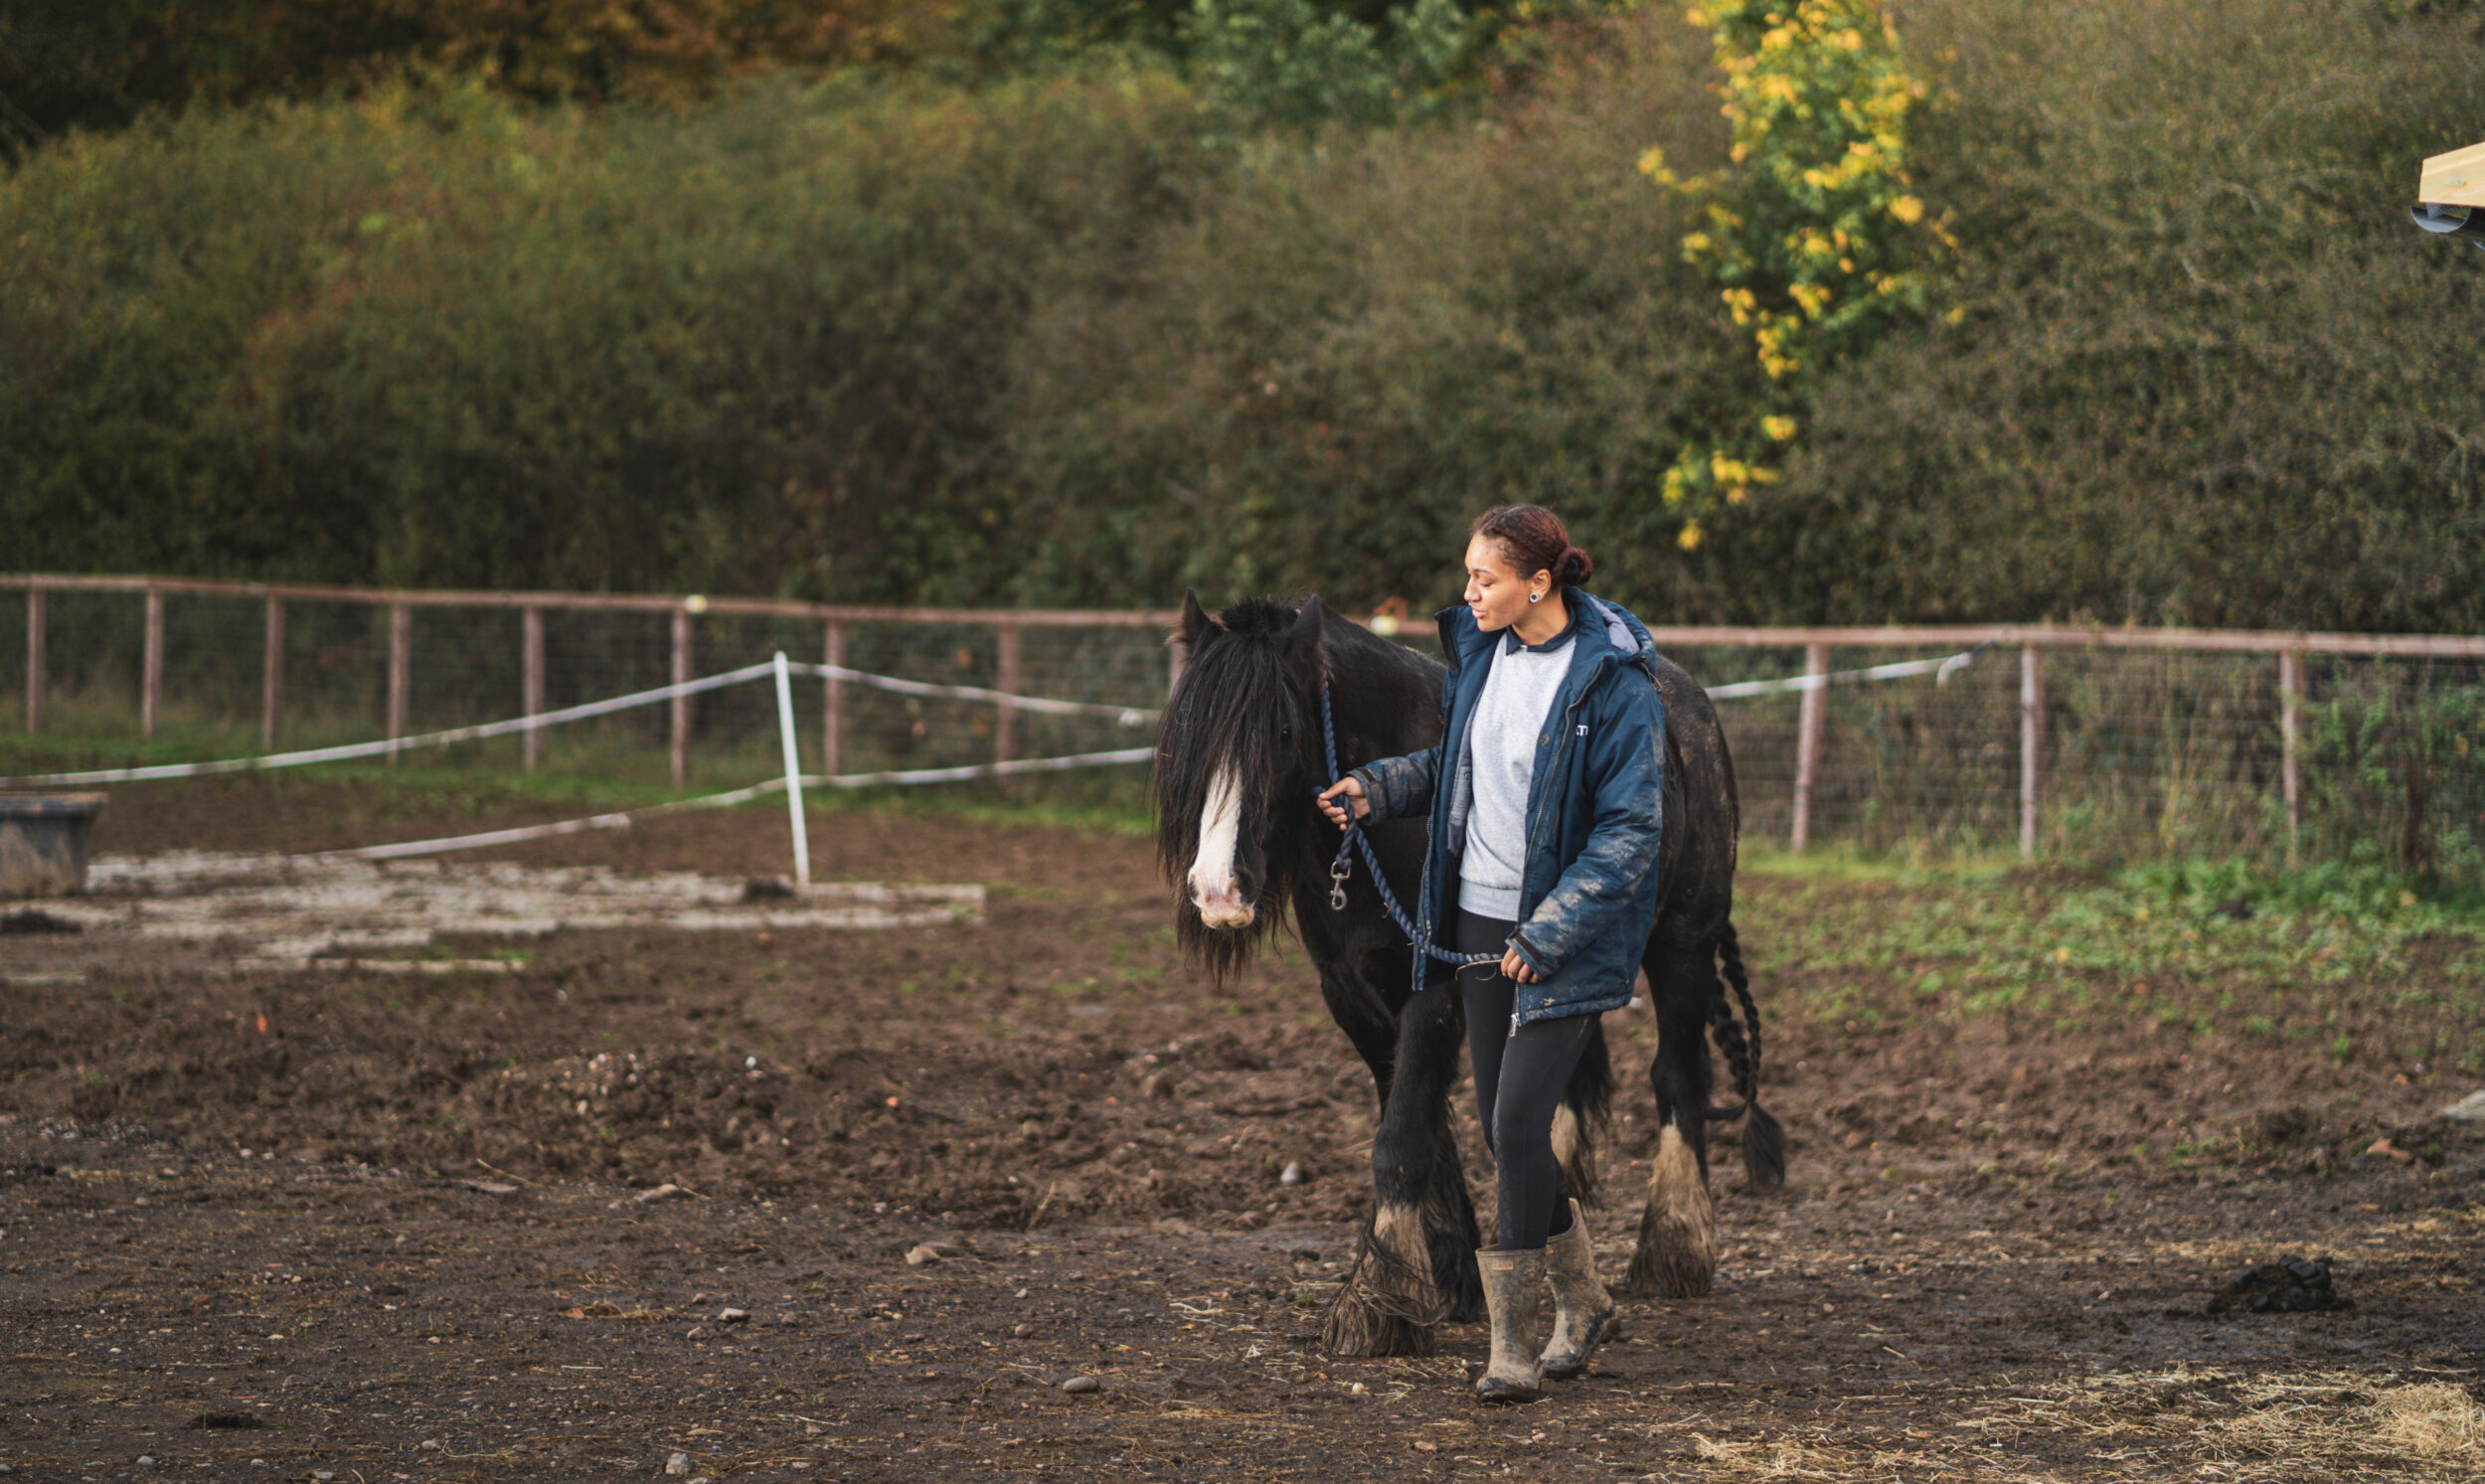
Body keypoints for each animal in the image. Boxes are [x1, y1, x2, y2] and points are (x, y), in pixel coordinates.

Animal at [1153, 588, 1779, 1352]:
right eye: (1187, 738)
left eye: (1280, 731)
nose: (1217, 892)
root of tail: (1694, 712)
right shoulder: (1352, 995)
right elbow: (1421, 1121)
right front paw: (1445, 1274)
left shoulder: (1436, 988)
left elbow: (1400, 1136)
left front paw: (1376, 1306)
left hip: (1683, 943)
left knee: (1678, 1077)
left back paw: (1675, 1247)